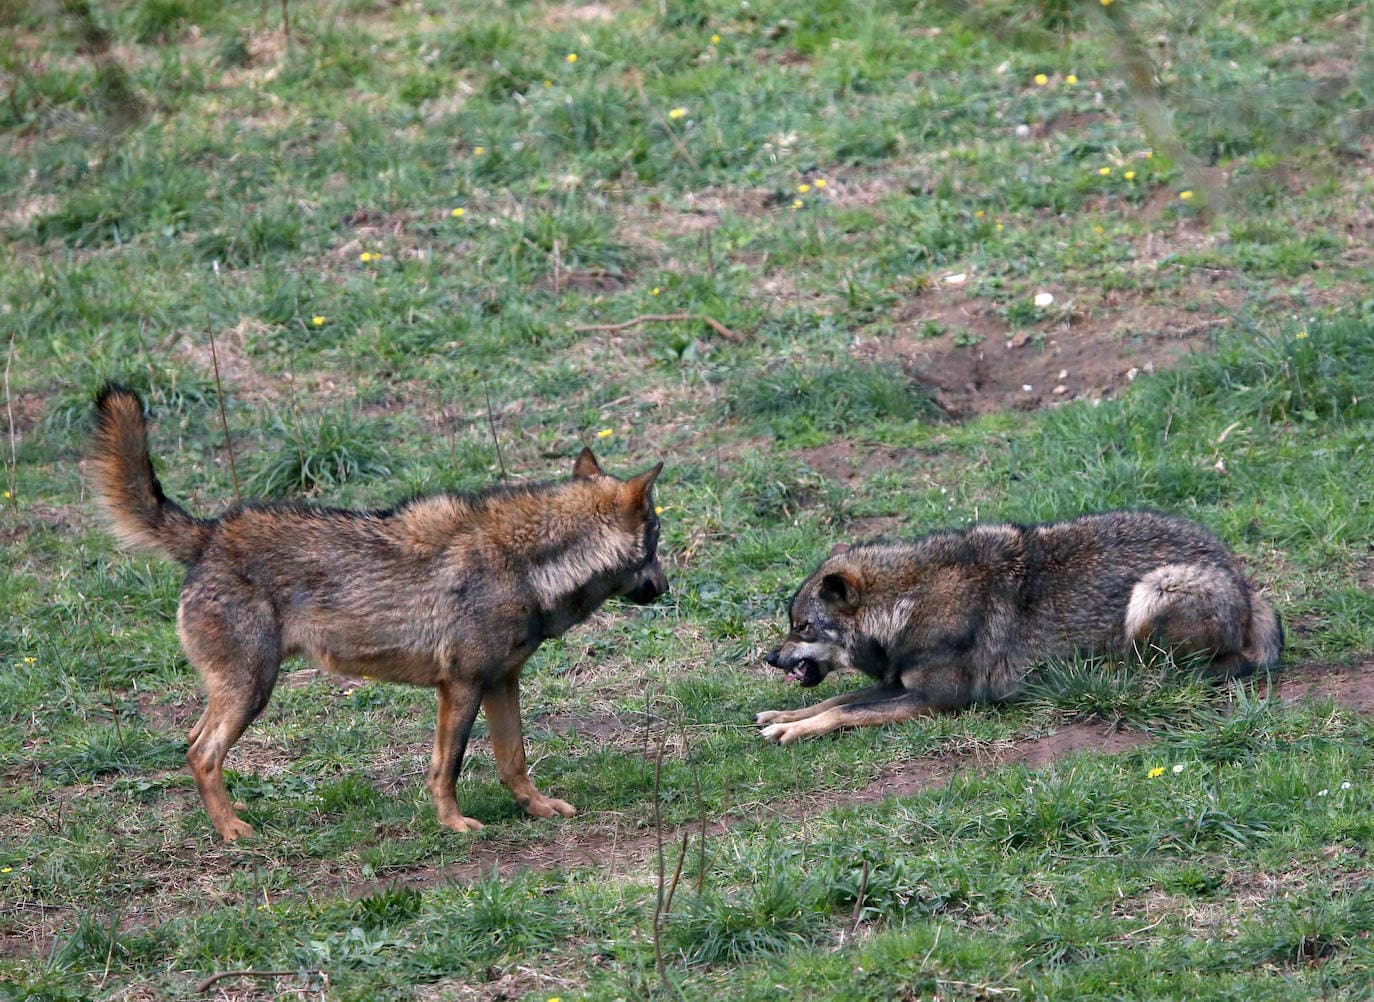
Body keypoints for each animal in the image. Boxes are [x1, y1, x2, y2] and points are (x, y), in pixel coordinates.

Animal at [88, 387, 667, 841]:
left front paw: (539, 809)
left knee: (190, 745)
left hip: (240, 692)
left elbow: (514, 760)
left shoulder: (502, 682)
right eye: (658, 541)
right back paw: (232, 830)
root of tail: (210, 534)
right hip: (253, 691)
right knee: (202, 753)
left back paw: (231, 813)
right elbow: (448, 767)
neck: (526, 564)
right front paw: (454, 825)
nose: (667, 588)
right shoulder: (461, 686)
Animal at [758, 516, 1280, 742]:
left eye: (802, 627)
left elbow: (844, 712)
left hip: (1154, 592)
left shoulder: (935, 699)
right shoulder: (895, 684)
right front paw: (783, 717)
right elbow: (834, 700)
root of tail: (1243, 581)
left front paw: (794, 729)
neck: (905, 604)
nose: (769, 657)